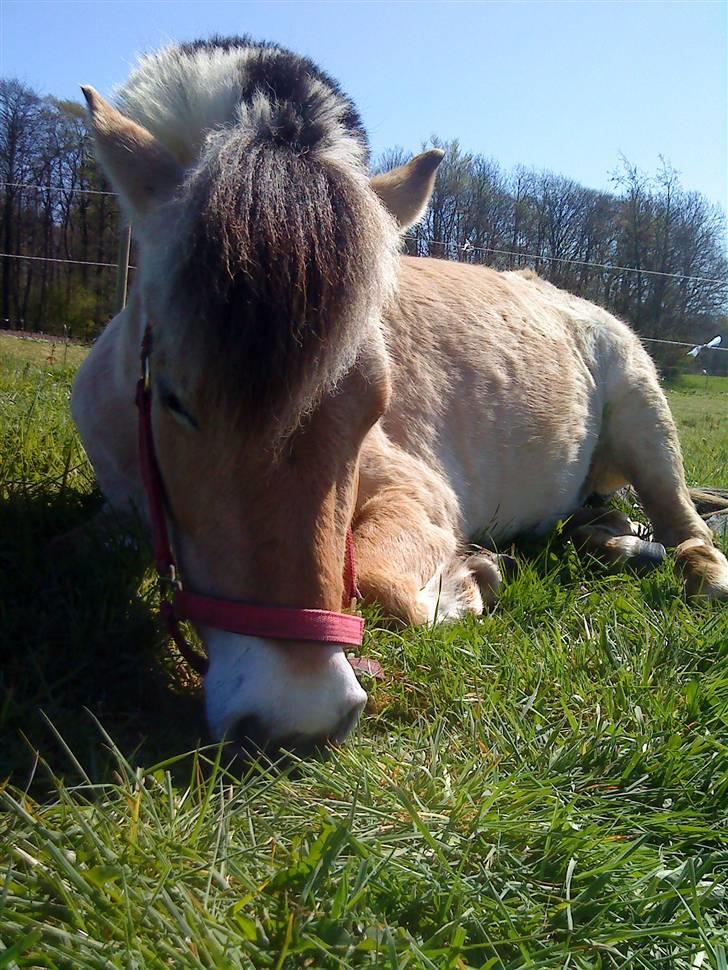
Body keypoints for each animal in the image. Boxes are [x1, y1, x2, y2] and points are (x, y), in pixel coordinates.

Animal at [72, 36, 728, 755]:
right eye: (173, 399)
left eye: (375, 405)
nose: (298, 716)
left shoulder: (416, 492)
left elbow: (381, 580)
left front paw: (472, 582)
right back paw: (619, 543)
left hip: (646, 425)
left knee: (689, 529)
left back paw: (691, 567)